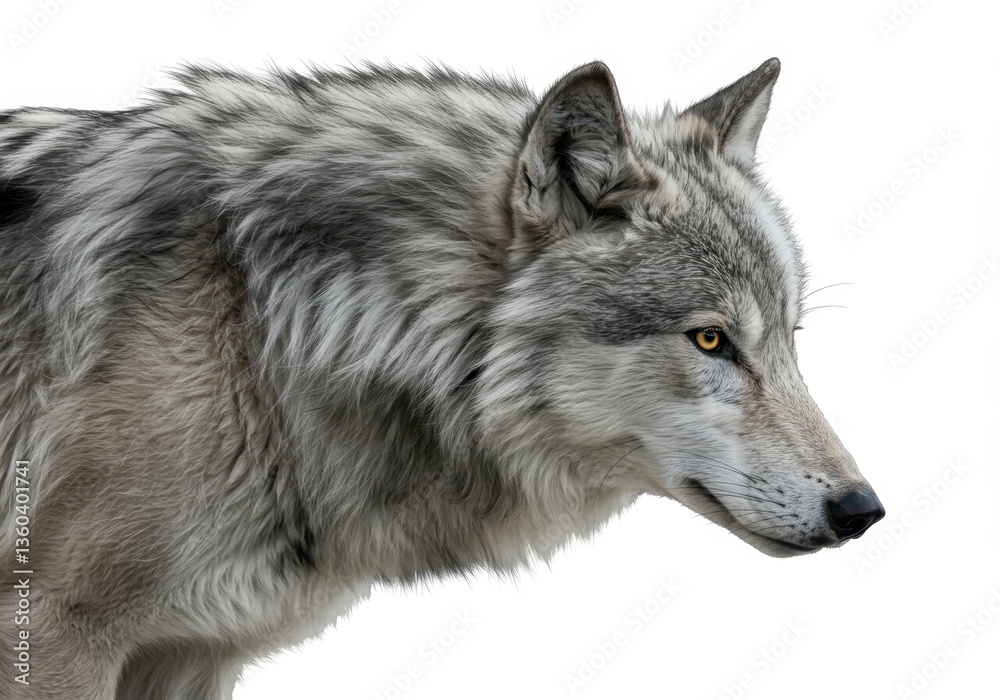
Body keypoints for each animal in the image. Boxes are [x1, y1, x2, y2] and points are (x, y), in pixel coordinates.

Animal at [0, 57, 884, 698]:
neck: (264, 330)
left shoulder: (190, 656)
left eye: (790, 339)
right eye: (710, 339)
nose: (862, 510)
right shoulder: (57, 631)